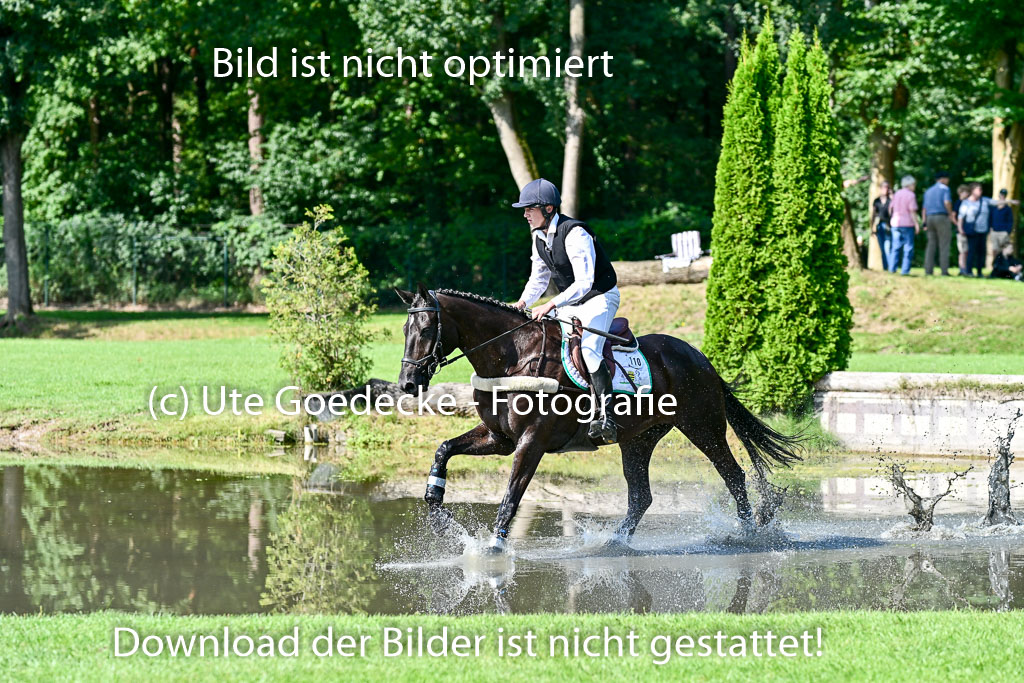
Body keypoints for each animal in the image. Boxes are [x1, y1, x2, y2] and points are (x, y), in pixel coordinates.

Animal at [396, 284, 802, 551]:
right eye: (404, 330)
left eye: (426, 329)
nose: (407, 383)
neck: (513, 358)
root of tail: (698, 356)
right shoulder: (499, 439)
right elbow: (444, 450)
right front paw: (440, 516)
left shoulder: (531, 443)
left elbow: (512, 494)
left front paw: (494, 549)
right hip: (638, 439)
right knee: (641, 497)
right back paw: (614, 544)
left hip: (702, 426)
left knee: (733, 475)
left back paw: (749, 534)